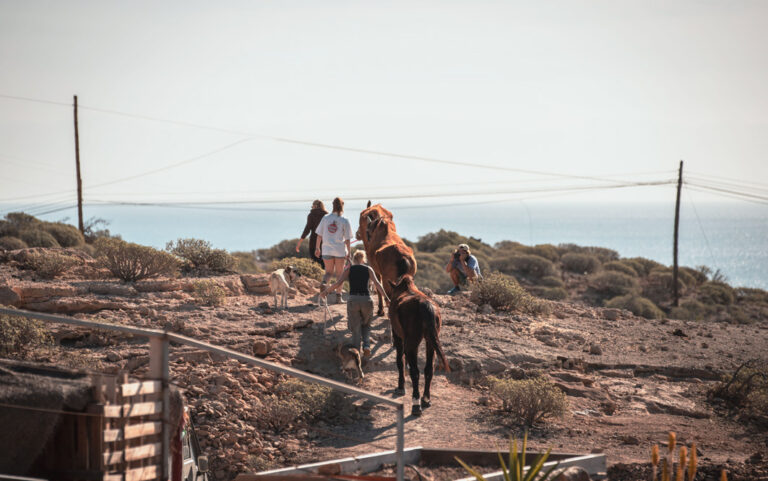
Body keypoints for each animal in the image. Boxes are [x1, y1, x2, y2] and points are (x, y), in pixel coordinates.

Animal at [388, 274, 448, 416]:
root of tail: (425, 306)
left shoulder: (397, 334)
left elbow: (400, 360)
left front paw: (401, 387)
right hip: (430, 341)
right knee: (429, 369)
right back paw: (426, 399)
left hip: (412, 343)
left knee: (415, 372)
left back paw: (416, 404)